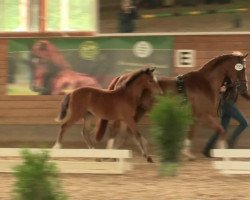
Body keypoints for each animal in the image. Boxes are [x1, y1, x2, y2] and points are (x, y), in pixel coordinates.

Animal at [95, 52, 248, 161]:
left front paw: (188, 153)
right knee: (115, 129)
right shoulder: (203, 115)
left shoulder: (193, 116)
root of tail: (121, 77)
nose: (243, 89)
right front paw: (224, 154)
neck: (205, 83)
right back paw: (111, 153)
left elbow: (191, 132)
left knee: (127, 129)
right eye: (240, 69)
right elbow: (221, 130)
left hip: (139, 111)